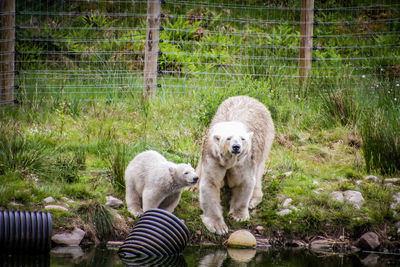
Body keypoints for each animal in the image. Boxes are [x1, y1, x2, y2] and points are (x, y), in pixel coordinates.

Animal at [198, 95, 274, 236]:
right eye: (228, 138)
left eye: (242, 139)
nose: (236, 147)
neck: (229, 160)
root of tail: (250, 98)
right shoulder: (213, 157)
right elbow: (211, 183)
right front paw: (218, 226)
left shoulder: (244, 161)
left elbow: (244, 182)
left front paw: (238, 216)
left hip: (267, 138)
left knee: (258, 172)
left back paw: (253, 200)